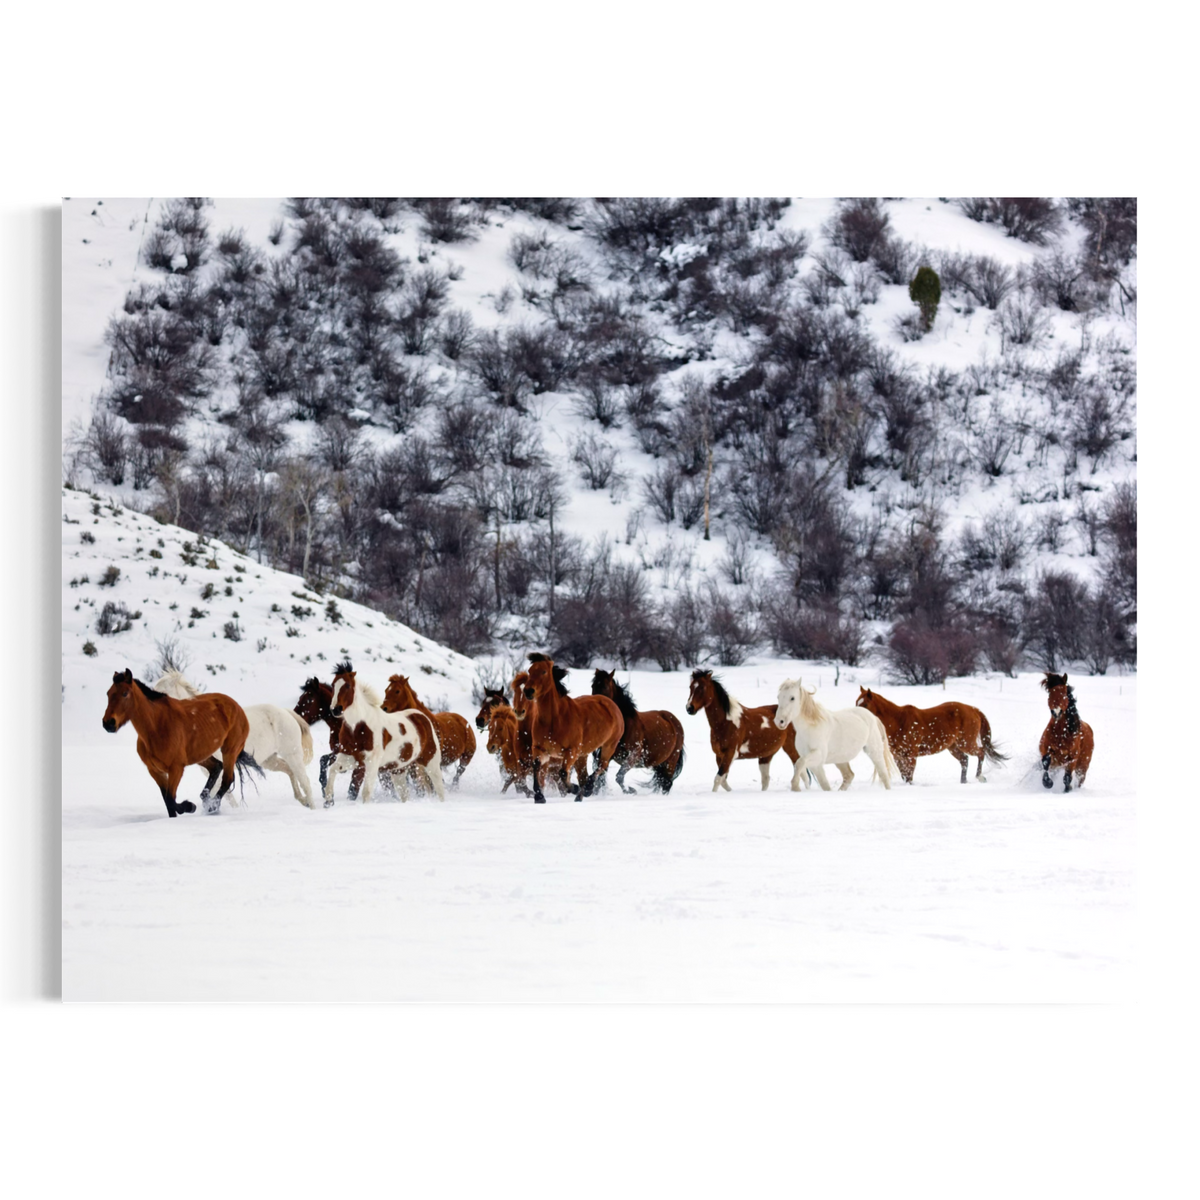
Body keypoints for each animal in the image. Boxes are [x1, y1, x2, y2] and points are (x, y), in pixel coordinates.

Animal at [102, 668, 263, 817]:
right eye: (108, 694)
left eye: (125, 693)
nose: (108, 723)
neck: (156, 727)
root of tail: (236, 706)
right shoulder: (155, 770)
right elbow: (168, 801)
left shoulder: (176, 768)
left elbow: (171, 798)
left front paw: (189, 806)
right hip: (201, 755)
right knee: (216, 768)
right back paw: (207, 801)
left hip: (229, 750)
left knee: (227, 779)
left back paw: (212, 806)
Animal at [155, 671, 315, 808]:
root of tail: (286, 712)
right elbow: (222, 796)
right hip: (269, 760)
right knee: (289, 771)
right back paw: (302, 800)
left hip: (292, 755)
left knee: (305, 782)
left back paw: (311, 805)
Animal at [523, 657, 624, 803]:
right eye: (530, 671)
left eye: (544, 672)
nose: (528, 691)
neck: (554, 720)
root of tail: (612, 704)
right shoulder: (540, 749)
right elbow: (536, 767)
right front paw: (539, 797)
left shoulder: (571, 751)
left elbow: (563, 773)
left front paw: (573, 788)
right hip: (583, 755)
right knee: (583, 776)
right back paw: (580, 796)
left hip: (608, 746)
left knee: (601, 766)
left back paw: (587, 789)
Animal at [855, 687, 1007, 784]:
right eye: (857, 703)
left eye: (865, 704)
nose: (857, 717)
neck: (899, 721)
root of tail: (973, 709)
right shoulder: (899, 756)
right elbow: (905, 776)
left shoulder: (911, 756)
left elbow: (909, 777)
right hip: (953, 747)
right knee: (964, 760)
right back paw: (963, 782)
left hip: (966, 743)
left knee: (981, 753)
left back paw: (980, 777)